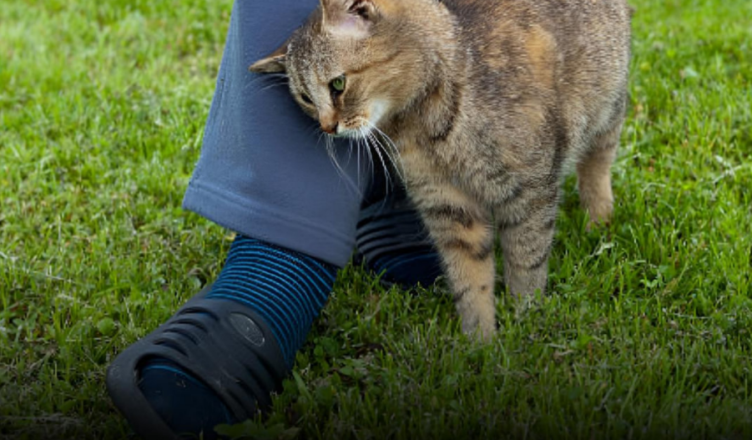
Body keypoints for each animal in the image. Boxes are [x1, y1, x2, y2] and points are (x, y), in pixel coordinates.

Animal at [250, 0, 631, 341]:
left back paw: (598, 223)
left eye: (338, 84)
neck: (422, 126)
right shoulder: (449, 207)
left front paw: (527, 318)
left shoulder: (529, 194)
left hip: (608, 111)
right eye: (305, 98)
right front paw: (481, 344)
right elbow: (470, 280)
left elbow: (527, 263)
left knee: (596, 166)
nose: (328, 127)